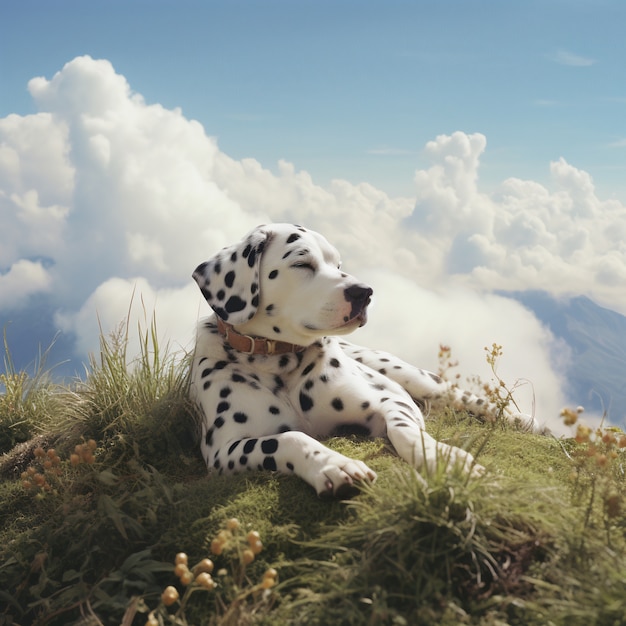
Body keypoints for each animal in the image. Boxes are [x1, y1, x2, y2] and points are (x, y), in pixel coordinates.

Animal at [189, 222, 532, 494]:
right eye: (302, 263)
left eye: (337, 262)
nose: (364, 292)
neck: (280, 363)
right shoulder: (224, 451)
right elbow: (290, 439)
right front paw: (333, 465)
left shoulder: (392, 400)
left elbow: (406, 431)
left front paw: (445, 459)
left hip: (414, 379)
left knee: (472, 401)